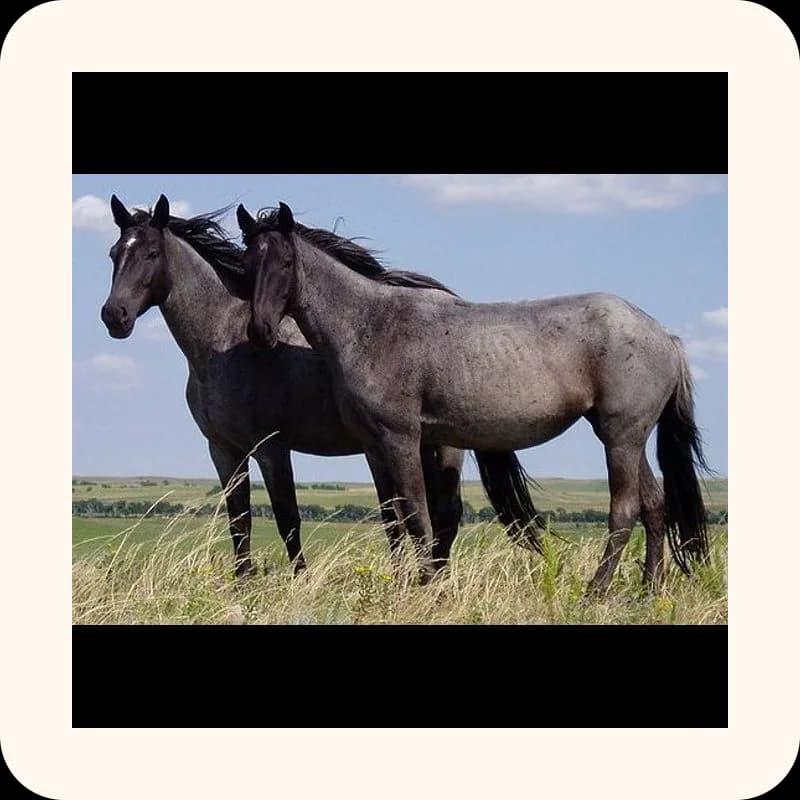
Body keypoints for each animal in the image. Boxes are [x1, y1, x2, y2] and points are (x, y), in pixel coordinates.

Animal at [99, 194, 468, 579]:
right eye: (114, 253)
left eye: (152, 253)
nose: (114, 315)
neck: (223, 343)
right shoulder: (223, 450)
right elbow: (239, 521)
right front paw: (242, 582)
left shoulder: (271, 448)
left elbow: (287, 517)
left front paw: (299, 580)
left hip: (443, 446)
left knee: (444, 515)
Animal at [238, 201, 710, 593]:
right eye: (246, 263)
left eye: (285, 262)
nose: (260, 332)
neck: (369, 325)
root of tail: (664, 337)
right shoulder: (373, 446)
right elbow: (394, 518)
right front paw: (404, 584)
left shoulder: (402, 439)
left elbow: (417, 515)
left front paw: (426, 587)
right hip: (626, 437)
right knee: (654, 505)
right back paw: (649, 590)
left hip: (620, 438)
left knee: (624, 509)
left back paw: (597, 591)